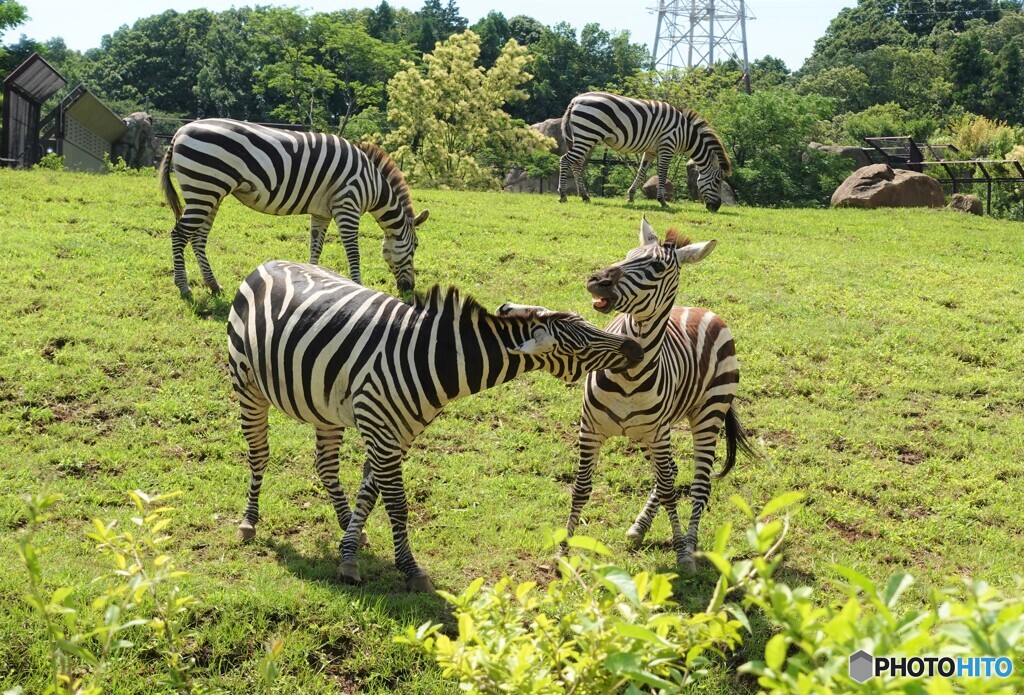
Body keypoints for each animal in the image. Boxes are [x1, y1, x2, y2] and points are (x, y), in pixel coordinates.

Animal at [156, 119, 428, 298]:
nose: (410, 289)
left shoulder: (321, 213)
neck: (372, 184)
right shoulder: (347, 205)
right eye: (415, 247)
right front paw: (357, 284)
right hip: (204, 188)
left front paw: (316, 279)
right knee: (178, 234)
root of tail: (180, 131)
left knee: (198, 238)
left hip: (209, 193)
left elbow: (315, 248)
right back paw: (183, 287)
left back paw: (213, 285)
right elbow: (353, 252)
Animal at [229, 261, 643, 593]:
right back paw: (248, 523)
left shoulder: (396, 434)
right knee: (259, 453)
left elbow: (369, 494)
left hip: (325, 407)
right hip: (247, 384)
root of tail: (268, 264)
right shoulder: (381, 429)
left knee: (326, 466)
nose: (636, 349)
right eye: (579, 346)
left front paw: (349, 551)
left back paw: (348, 525)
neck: (435, 359)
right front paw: (410, 570)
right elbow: (397, 505)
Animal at [561, 92, 729, 211]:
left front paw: (630, 197)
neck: (685, 133)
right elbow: (662, 174)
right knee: (565, 160)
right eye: (717, 181)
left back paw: (584, 196)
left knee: (576, 164)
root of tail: (575, 100)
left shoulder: (651, 151)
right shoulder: (667, 147)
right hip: (588, 134)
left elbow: (641, 172)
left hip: (584, 136)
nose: (716, 207)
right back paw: (562, 195)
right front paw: (662, 201)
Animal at [569, 219, 753, 577]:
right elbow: (581, 487)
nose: (596, 281)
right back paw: (638, 528)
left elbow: (669, 492)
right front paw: (562, 551)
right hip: (650, 433)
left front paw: (682, 554)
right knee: (671, 469)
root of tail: (702, 309)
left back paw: (691, 544)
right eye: (628, 254)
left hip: (706, 416)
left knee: (698, 485)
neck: (628, 374)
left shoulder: (657, 433)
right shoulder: (590, 429)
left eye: (656, 267)